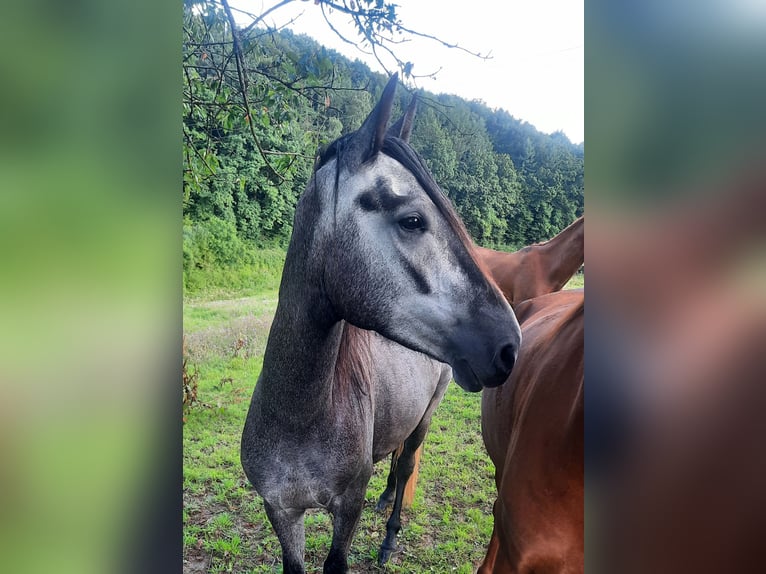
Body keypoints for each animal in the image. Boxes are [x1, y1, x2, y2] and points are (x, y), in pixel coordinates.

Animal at [240, 74, 521, 574]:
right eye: (412, 220)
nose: (509, 345)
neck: (298, 414)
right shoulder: (280, 510)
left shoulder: (346, 508)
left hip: (427, 416)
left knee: (406, 463)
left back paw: (389, 537)